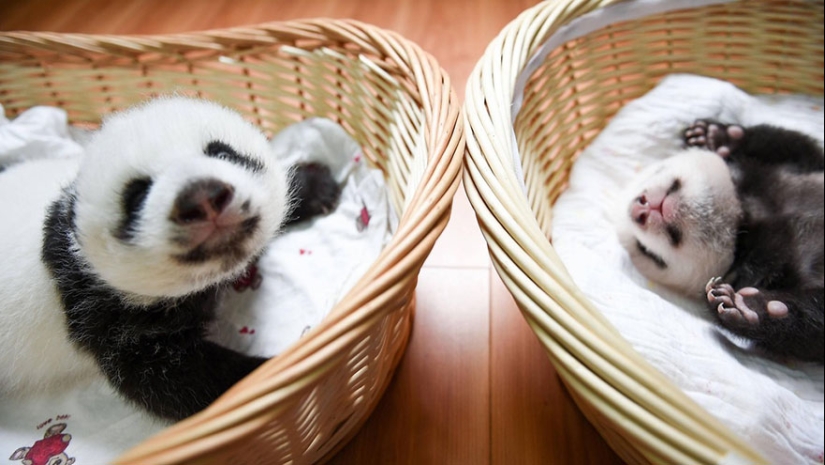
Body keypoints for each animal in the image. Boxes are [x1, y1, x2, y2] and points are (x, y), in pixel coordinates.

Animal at [0, 97, 341, 420]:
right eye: (137, 195)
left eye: (223, 154)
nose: (203, 197)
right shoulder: (101, 312)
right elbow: (169, 379)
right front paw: (271, 371)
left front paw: (317, 185)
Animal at [615, 120, 824, 362]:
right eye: (646, 251)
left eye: (659, 170)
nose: (640, 208)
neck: (741, 221)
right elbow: (813, 333)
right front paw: (751, 310)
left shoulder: (797, 169)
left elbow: (791, 143)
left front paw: (713, 135)